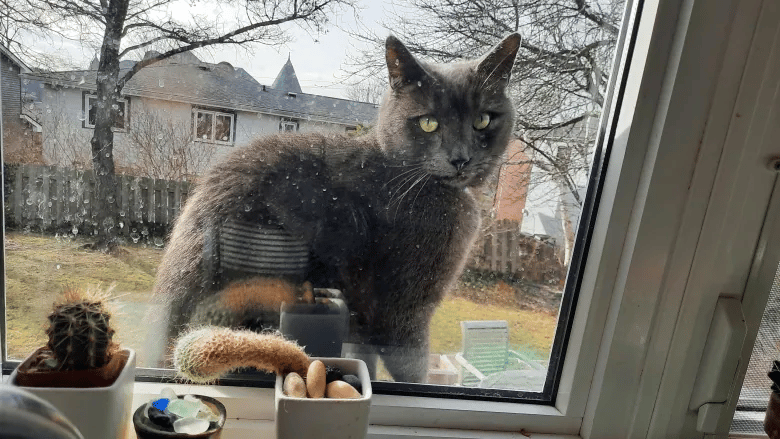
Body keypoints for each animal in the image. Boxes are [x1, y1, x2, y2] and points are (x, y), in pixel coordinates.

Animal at [149, 35, 520, 384]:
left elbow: (365, 356)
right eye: (429, 123)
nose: (461, 158)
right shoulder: (402, 308)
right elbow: (411, 366)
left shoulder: (363, 317)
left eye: (483, 120)